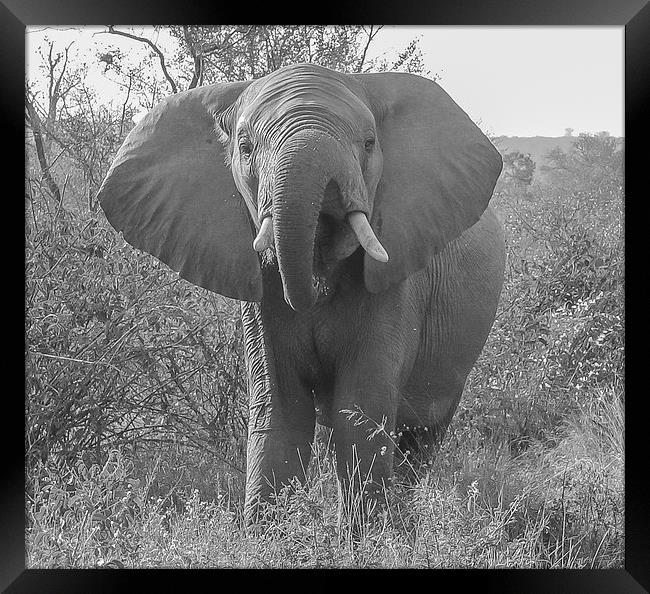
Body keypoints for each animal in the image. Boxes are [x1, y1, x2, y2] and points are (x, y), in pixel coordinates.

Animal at [96, 62, 504, 520]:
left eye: (369, 143)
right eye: (245, 148)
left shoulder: (397, 284)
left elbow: (359, 413)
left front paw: (370, 534)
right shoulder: (261, 298)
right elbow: (282, 412)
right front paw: (267, 533)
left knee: (421, 437)